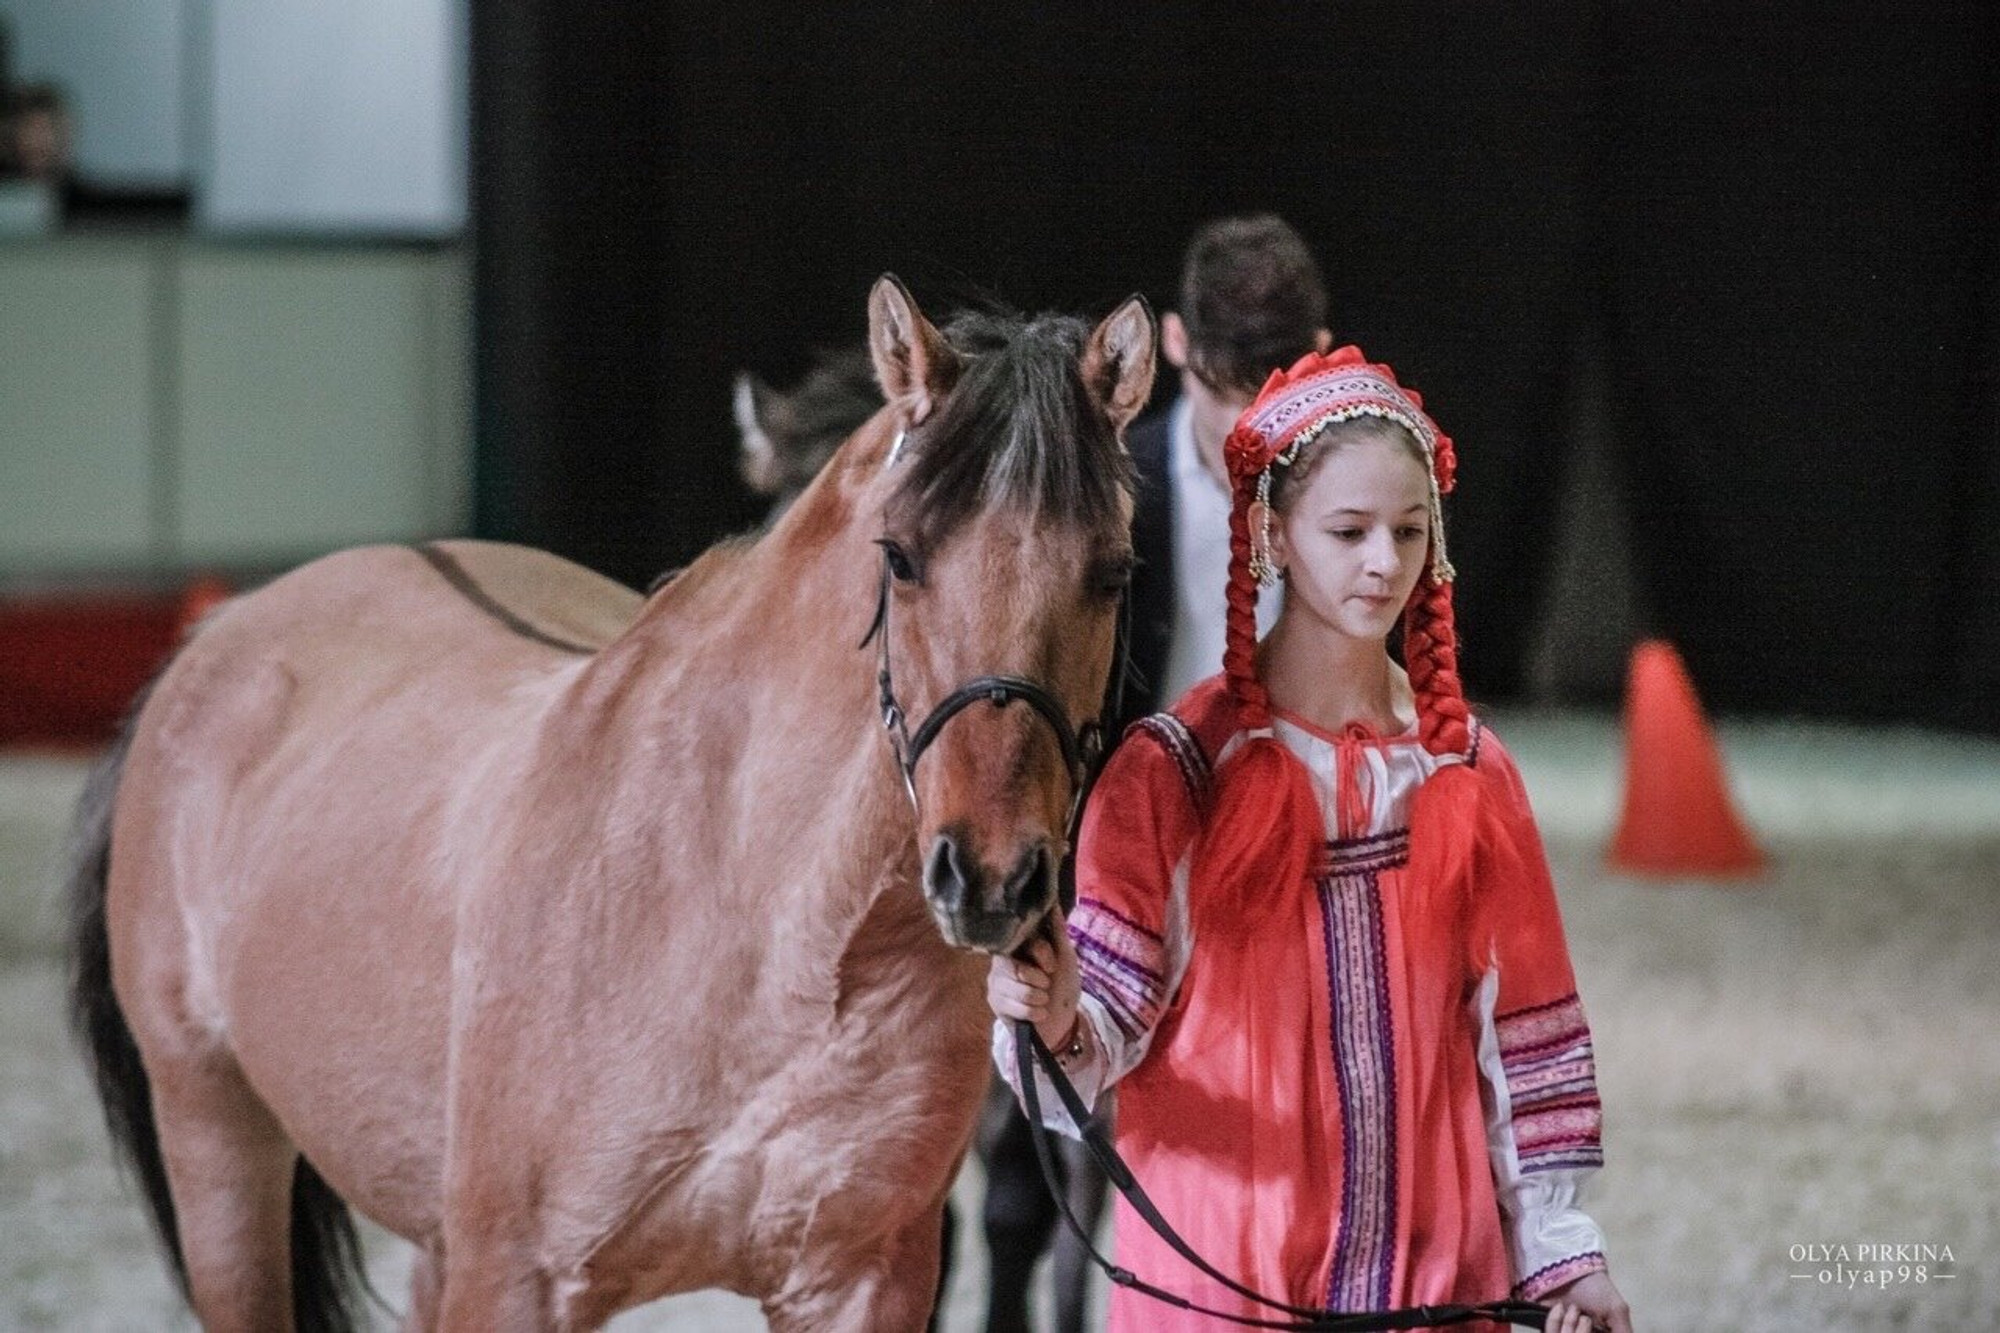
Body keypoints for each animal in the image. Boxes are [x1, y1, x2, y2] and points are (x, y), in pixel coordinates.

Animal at [70, 274, 1160, 1320]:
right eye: (898, 555)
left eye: (1114, 573)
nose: (990, 878)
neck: (751, 923)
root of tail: (219, 633)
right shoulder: (512, 1280)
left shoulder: (861, 1279)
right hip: (217, 1140)